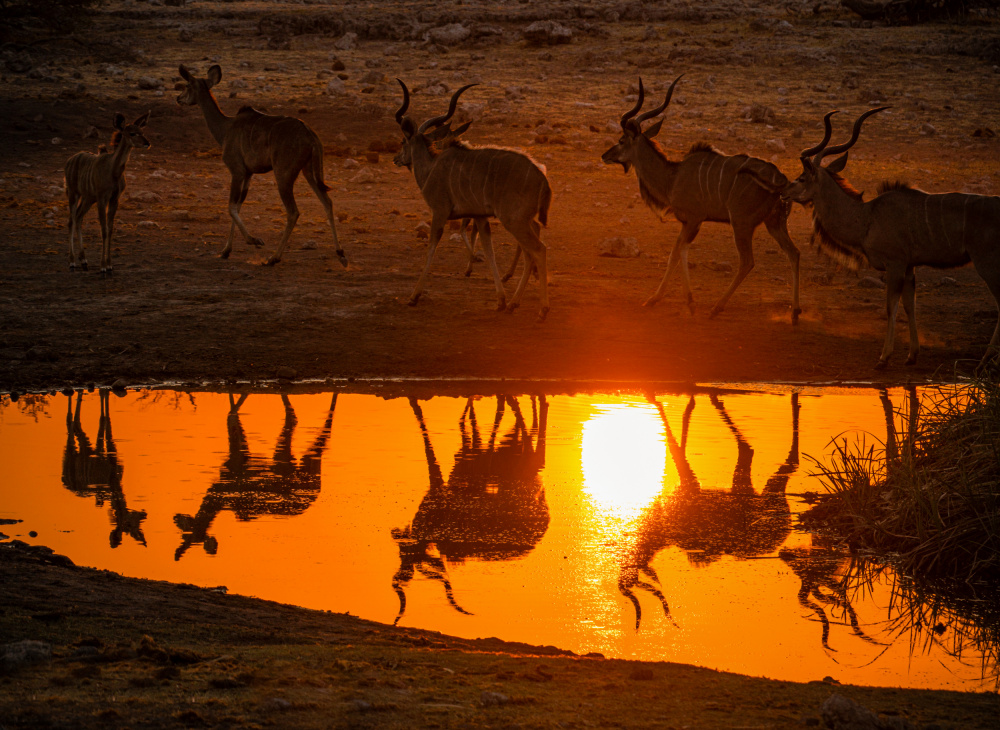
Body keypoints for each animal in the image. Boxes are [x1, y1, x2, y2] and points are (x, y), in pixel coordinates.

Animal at [64, 112, 149, 274]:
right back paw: (72, 262)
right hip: (73, 193)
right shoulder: (102, 198)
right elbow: (103, 229)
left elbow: (110, 230)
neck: (113, 170)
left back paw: (84, 261)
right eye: (132, 133)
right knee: (71, 220)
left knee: (78, 217)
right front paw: (103, 266)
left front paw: (109, 265)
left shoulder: (114, 199)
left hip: (88, 198)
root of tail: (69, 161)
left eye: (142, 131)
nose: (147, 143)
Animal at [172, 64, 344, 266]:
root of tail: (311, 136)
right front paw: (226, 251)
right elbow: (238, 205)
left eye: (187, 85)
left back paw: (273, 258)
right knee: (327, 202)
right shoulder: (248, 174)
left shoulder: (237, 171)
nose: (178, 98)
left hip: (284, 175)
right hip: (309, 171)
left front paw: (254, 240)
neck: (225, 128)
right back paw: (341, 253)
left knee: (293, 211)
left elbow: (231, 206)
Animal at [392, 80, 552, 318]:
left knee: (538, 250)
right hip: (520, 221)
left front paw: (414, 297)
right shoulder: (480, 217)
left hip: (514, 221)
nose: (396, 159)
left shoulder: (439, 212)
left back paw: (542, 309)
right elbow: (488, 249)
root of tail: (542, 178)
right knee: (529, 252)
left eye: (404, 141)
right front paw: (500, 300)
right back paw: (514, 303)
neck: (431, 168)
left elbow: (431, 247)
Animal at [600, 76, 804, 322]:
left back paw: (716, 307)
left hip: (742, 223)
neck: (672, 176)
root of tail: (782, 180)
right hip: (775, 223)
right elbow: (675, 253)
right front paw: (655, 299)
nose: (604, 155)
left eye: (621, 140)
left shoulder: (694, 219)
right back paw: (794, 313)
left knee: (747, 261)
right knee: (794, 253)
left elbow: (680, 251)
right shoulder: (687, 222)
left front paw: (689, 303)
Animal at [776, 106, 1000, 370]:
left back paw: (984, 361)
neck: (867, 217)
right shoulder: (909, 267)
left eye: (801, 178)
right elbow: (909, 306)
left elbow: (889, 307)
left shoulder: (895, 265)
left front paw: (883, 358)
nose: (782, 192)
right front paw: (912, 355)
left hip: (987, 264)